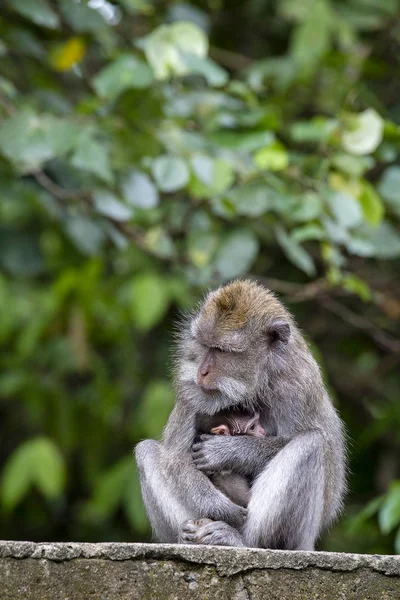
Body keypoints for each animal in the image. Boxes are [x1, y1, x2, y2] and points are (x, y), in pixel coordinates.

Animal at [136, 280, 346, 548]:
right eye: (205, 346)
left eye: (223, 351)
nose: (202, 371)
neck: (256, 382)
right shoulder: (191, 391)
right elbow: (176, 459)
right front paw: (221, 508)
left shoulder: (298, 384)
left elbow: (315, 448)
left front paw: (228, 451)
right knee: (146, 451)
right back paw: (186, 537)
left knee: (312, 443)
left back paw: (241, 541)